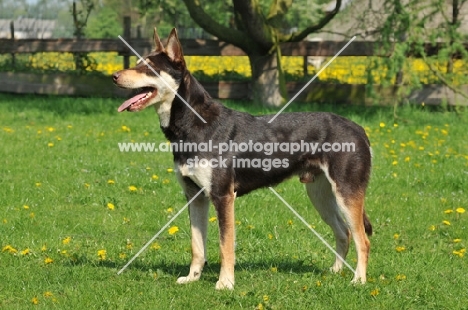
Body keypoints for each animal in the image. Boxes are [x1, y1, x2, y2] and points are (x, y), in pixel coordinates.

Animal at [112, 27, 372, 290]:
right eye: (136, 63)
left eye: (149, 67)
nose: (114, 76)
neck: (195, 125)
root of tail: (359, 129)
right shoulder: (195, 196)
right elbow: (197, 246)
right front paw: (193, 277)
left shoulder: (223, 196)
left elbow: (225, 245)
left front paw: (225, 283)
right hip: (320, 196)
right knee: (343, 232)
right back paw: (336, 272)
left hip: (346, 194)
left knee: (362, 239)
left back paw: (358, 280)